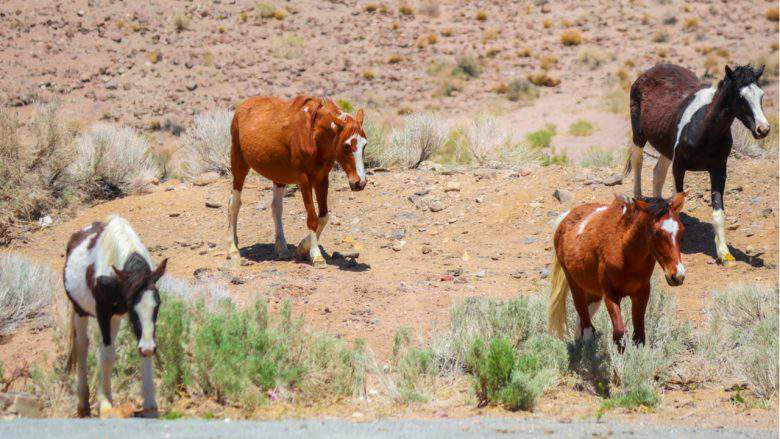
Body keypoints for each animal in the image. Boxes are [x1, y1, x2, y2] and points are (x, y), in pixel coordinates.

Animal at [63, 217, 167, 420]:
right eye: (132, 306)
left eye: (157, 304)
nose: (149, 348)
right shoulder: (103, 312)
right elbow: (107, 356)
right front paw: (104, 405)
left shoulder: (130, 321)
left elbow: (139, 352)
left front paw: (150, 405)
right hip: (80, 311)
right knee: (82, 346)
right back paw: (83, 403)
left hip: (115, 319)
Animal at [229, 96, 368, 268]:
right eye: (347, 146)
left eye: (364, 145)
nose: (359, 183)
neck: (313, 135)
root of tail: (242, 107)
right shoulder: (304, 180)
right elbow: (312, 218)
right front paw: (316, 256)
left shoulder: (322, 179)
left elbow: (323, 217)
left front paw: (302, 248)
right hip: (239, 164)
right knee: (234, 204)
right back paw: (233, 249)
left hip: (278, 176)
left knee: (276, 207)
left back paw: (282, 249)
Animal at [544, 193, 684, 348]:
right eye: (657, 233)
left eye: (681, 230)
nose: (677, 276)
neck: (625, 253)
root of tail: (565, 218)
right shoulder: (611, 295)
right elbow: (619, 333)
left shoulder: (642, 293)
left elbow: (639, 335)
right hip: (575, 285)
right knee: (584, 320)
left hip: (594, 292)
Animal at [624, 63, 772, 262]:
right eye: (741, 97)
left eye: (761, 95)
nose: (763, 129)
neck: (704, 129)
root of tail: (649, 72)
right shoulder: (679, 167)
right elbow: (678, 205)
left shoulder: (718, 170)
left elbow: (718, 212)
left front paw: (724, 253)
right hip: (639, 135)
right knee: (638, 161)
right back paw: (638, 199)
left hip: (665, 147)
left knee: (658, 172)